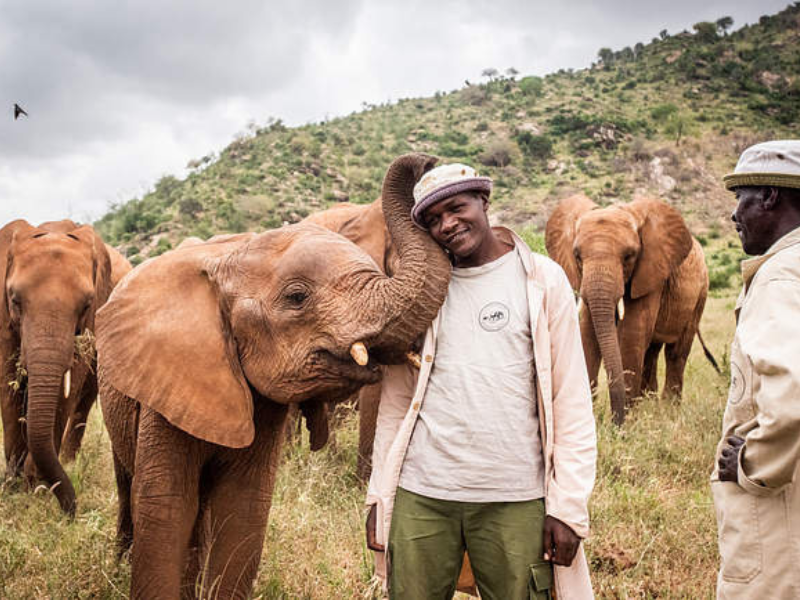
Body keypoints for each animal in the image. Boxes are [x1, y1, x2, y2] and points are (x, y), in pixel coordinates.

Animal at [0, 219, 130, 515]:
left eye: (86, 304)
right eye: (15, 300)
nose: (70, 512)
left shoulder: (93, 316)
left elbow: (68, 387)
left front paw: (36, 487)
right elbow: (8, 385)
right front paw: (13, 486)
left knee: (88, 393)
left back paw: (69, 462)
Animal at [95, 153, 452, 599]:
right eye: (297, 297)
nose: (426, 161)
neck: (227, 259)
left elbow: (243, 508)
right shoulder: (168, 380)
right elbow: (167, 506)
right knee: (128, 483)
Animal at [546, 194, 717, 425]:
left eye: (629, 256)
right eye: (577, 256)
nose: (614, 422)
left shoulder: (651, 272)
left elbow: (631, 332)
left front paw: (626, 424)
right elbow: (587, 332)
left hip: (700, 293)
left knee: (676, 353)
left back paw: (667, 412)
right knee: (651, 352)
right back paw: (650, 406)